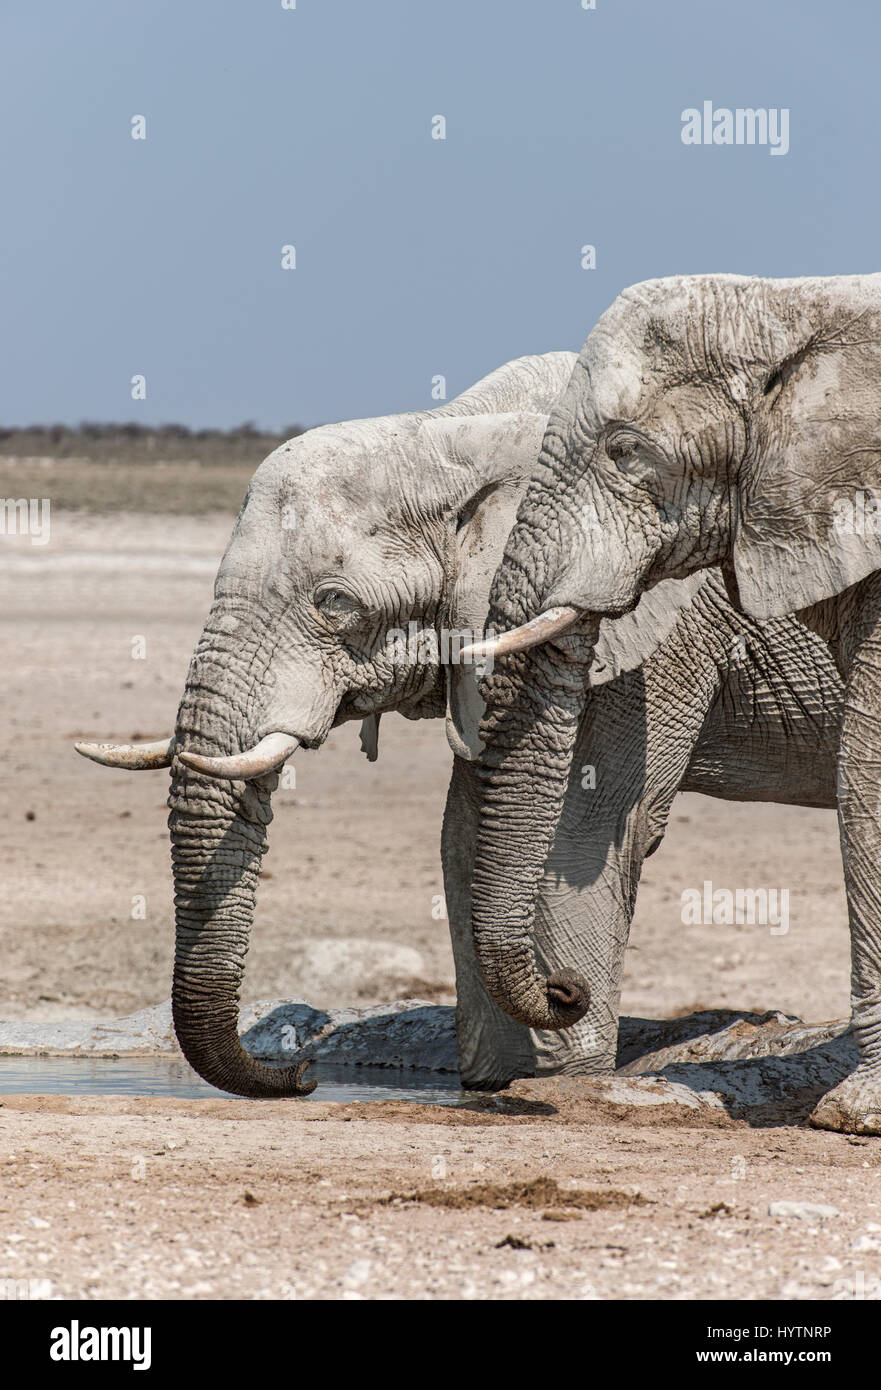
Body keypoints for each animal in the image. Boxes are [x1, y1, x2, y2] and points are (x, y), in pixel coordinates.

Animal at [80, 344, 839, 1095]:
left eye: (335, 602)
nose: (300, 1073)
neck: (454, 431)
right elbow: (464, 835)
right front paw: (499, 1083)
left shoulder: (644, 635)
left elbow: (579, 833)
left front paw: (560, 1082)